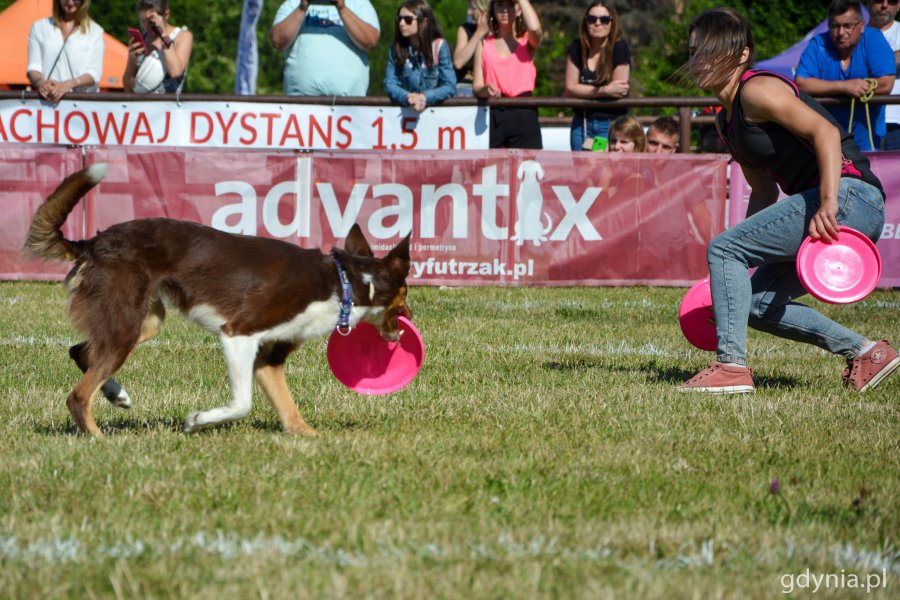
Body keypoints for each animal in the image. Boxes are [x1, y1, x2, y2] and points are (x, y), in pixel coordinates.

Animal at [24, 164, 412, 436]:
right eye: (404, 297)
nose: (407, 326)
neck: (342, 282)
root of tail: (92, 242)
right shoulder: (238, 334)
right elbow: (242, 403)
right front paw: (198, 421)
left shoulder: (269, 358)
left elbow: (291, 413)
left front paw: (310, 437)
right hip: (125, 326)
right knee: (77, 395)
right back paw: (99, 438)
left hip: (142, 322)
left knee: (80, 352)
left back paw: (116, 395)